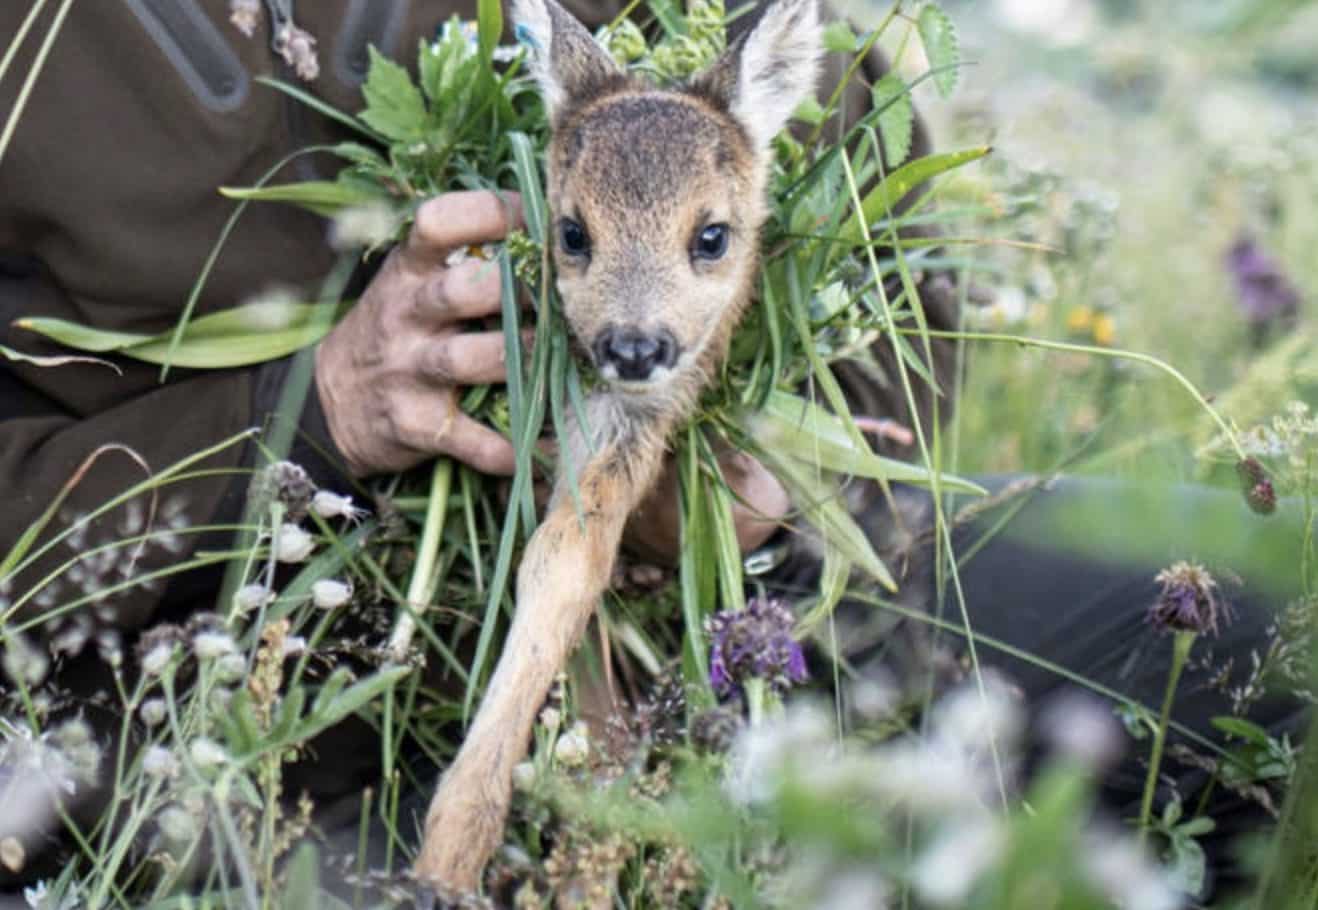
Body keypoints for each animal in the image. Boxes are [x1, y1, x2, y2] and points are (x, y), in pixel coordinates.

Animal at [412, 0, 821, 894]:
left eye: (713, 235)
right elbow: (555, 564)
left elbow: (569, 557)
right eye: (571, 232)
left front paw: (463, 844)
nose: (634, 347)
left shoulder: (640, 424)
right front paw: (451, 849)